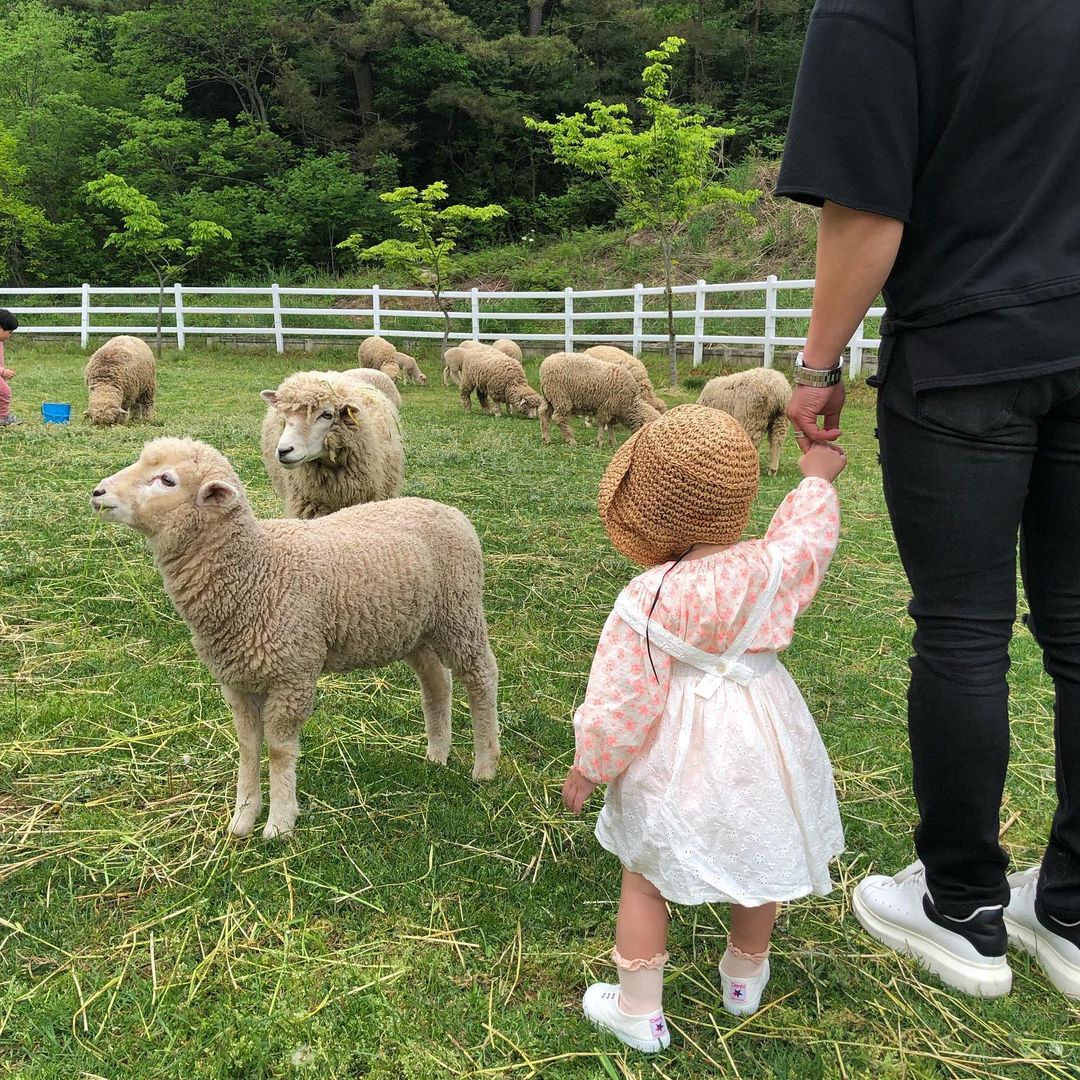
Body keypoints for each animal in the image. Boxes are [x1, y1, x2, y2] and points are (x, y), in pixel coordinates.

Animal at [90, 437, 501, 839]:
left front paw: (279, 823)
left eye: (167, 480)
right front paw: (243, 817)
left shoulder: (294, 675)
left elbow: (278, 750)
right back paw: (437, 753)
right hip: (413, 629)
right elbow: (248, 746)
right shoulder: (237, 681)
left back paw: (485, 765)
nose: (98, 493)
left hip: (459, 612)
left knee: (481, 676)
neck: (256, 571)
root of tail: (450, 510)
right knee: (436, 682)